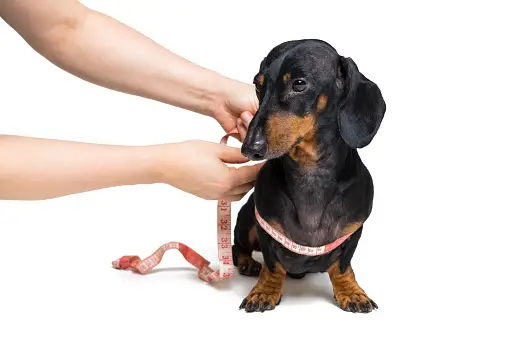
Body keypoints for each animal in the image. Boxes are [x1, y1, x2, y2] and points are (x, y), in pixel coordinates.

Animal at [231, 39, 384, 314]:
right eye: (258, 86)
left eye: (299, 84)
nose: (249, 148)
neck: (310, 170)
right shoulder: (264, 226)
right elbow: (272, 265)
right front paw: (264, 291)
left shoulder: (353, 231)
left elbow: (343, 265)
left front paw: (351, 292)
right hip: (246, 220)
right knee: (237, 247)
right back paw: (247, 262)